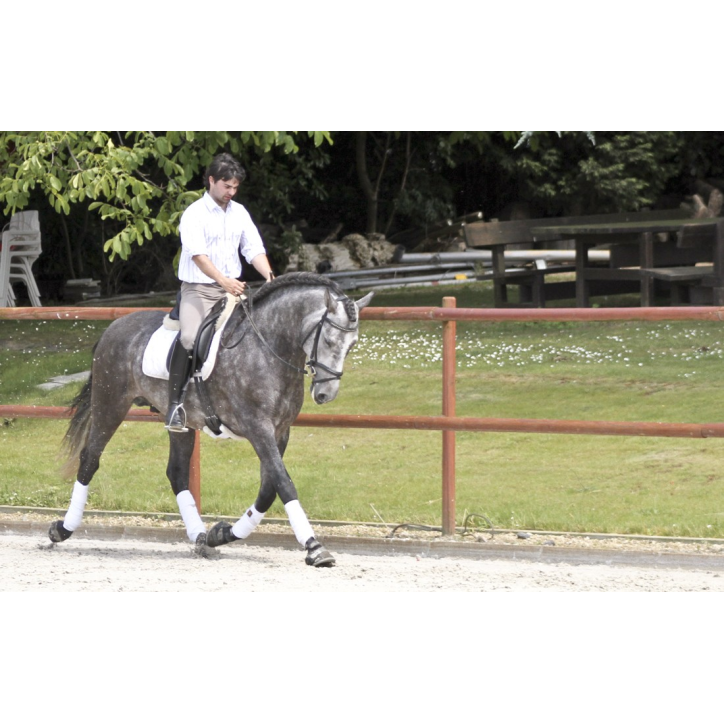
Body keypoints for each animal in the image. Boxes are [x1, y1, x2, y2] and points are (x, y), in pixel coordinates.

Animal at [50, 272, 374, 567]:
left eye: (352, 344)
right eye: (329, 340)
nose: (326, 394)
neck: (268, 346)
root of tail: (113, 327)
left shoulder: (280, 431)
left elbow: (269, 489)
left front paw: (222, 534)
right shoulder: (258, 428)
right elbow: (284, 483)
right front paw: (315, 548)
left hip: (178, 424)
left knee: (177, 473)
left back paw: (201, 537)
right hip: (110, 404)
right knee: (90, 459)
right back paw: (62, 529)